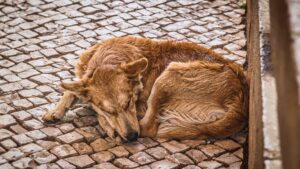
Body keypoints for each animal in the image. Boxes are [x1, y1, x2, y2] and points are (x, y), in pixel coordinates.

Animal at [42, 36, 248, 142]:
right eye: (111, 110)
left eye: (129, 103)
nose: (132, 137)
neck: (109, 57)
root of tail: (241, 104)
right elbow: (71, 89)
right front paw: (55, 111)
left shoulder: (140, 107)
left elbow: (93, 108)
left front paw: (107, 124)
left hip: (168, 75)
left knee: (149, 128)